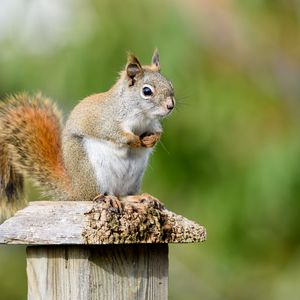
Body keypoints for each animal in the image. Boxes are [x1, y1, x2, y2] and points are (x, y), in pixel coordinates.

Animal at [0, 49, 176, 218]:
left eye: (170, 84)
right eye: (147, 91)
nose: (171, 106)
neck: (142, 115)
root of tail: (76, 192)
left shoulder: (153, 124)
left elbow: (158, 132)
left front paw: (152, 140)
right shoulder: (106, 121)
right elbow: (114, 134)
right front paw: (135, 140)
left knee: (122, 195)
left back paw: (139, 197)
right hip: (93, 171)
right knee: (97, 195)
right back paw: (109, 198)